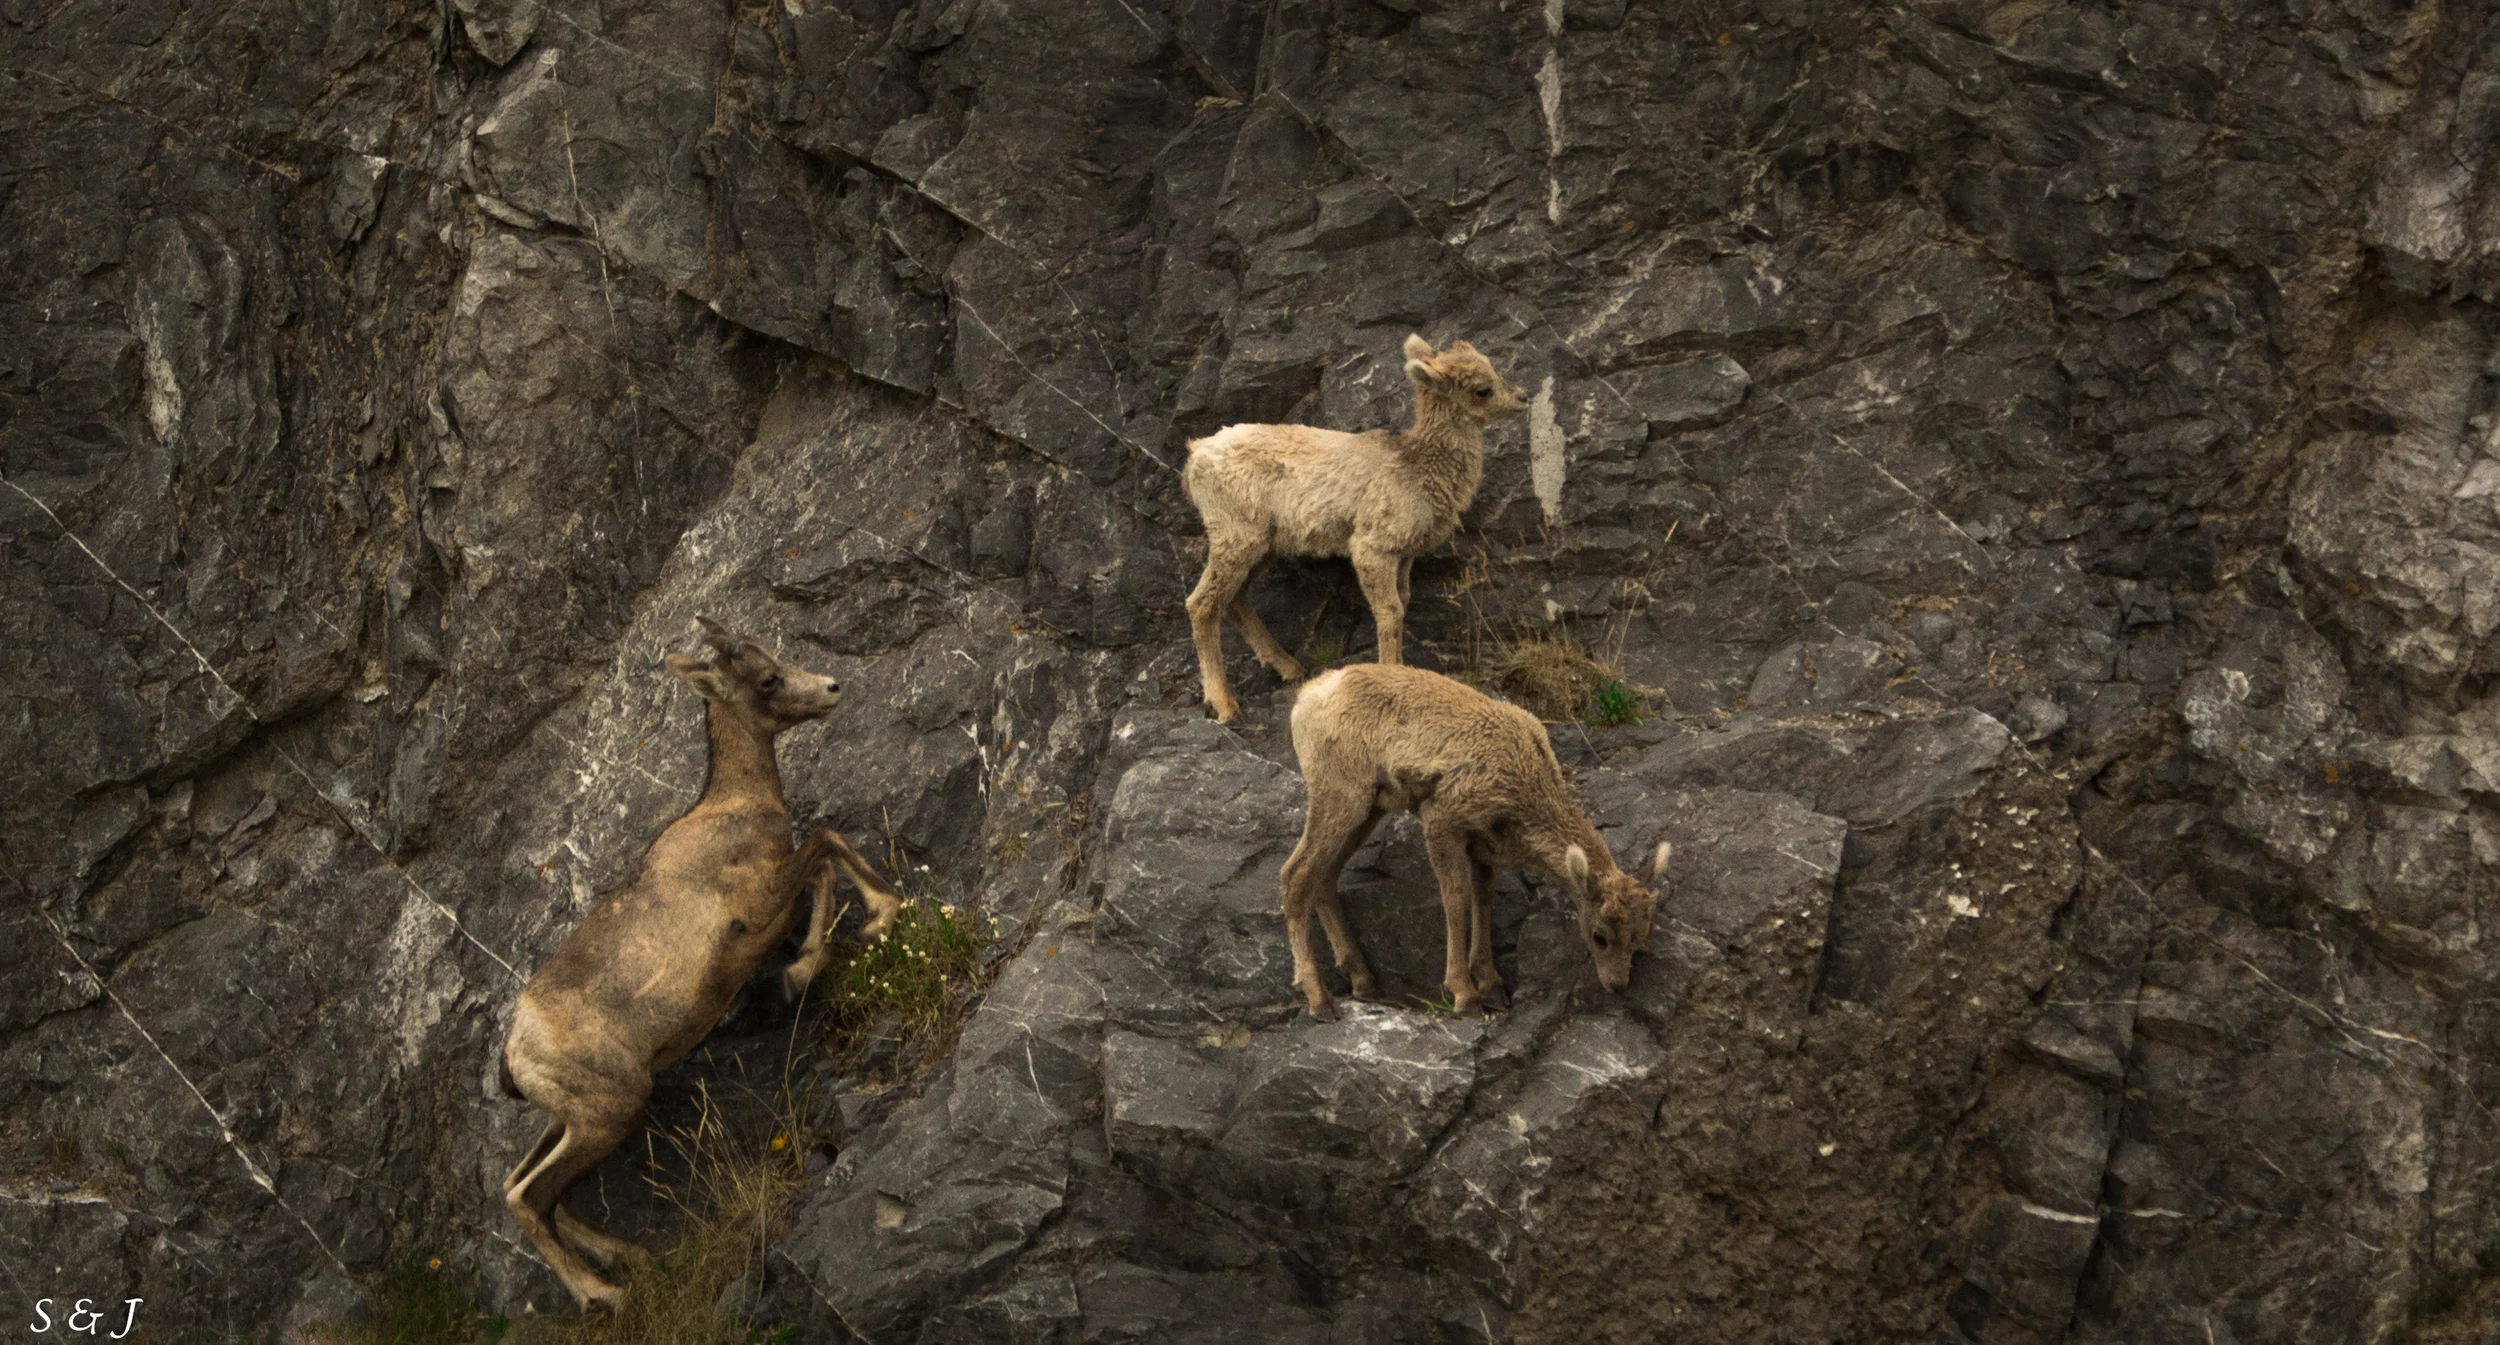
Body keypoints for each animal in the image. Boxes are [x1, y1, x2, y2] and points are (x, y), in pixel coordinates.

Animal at [498, 618, 902, 1309]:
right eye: (766, 678)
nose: (830, 688)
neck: (733, 809)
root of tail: (516, 1050)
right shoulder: (759, 902)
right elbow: (826, 842)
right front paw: (883, 915)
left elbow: (822, 865)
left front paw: (797, 975)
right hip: (609, 1111)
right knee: (529, 1198)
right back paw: (607, 1296)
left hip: (568, 1119)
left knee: (531, 1189)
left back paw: (628, 1258)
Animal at [1181, 335, 1530, 721]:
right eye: (1483, 389)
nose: (1523, 398)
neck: (1417, 466)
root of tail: (1196, 455)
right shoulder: (1372, 547)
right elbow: (1390, 612)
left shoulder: (1404, 556)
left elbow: (1402, 603)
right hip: (1235, 536)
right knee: (1201, 604)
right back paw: (1224, 704)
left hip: (1262, 545)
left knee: (1235, 599)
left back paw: (1289, 668)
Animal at [1279, 663, 1666, 1020]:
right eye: (1600, 935)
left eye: (1641, 935)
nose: (1616, 984)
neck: (1523, 789)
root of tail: (1303, 701)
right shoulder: (1442, 820)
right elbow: (1456, 900)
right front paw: (1464, 996)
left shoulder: (1483, 844)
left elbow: (1483, 901)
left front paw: (1492, 986)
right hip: (1341, 792)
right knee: (1295, 874)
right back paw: (1319, 999)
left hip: (1371, 805)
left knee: (1324, 876)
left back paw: (1362, 980)